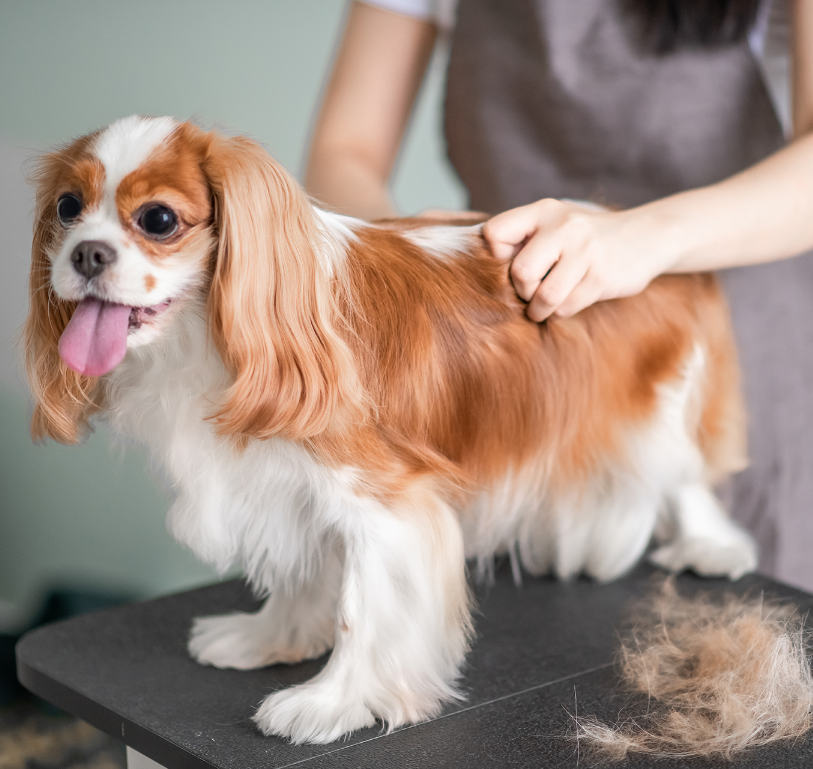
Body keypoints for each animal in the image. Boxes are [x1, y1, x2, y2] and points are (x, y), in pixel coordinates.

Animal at [25, 115, 760, 744]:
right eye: (67, 208)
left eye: (158, 219)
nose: (86, 254)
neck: (207, 337)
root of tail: (627, 226)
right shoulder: (281, 485)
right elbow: (297, 571)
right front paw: (269, 639)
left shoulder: (385, 504)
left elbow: (363, 611)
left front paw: (329, 702)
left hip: (657, 408)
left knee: (684, 475)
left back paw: (708, 545)